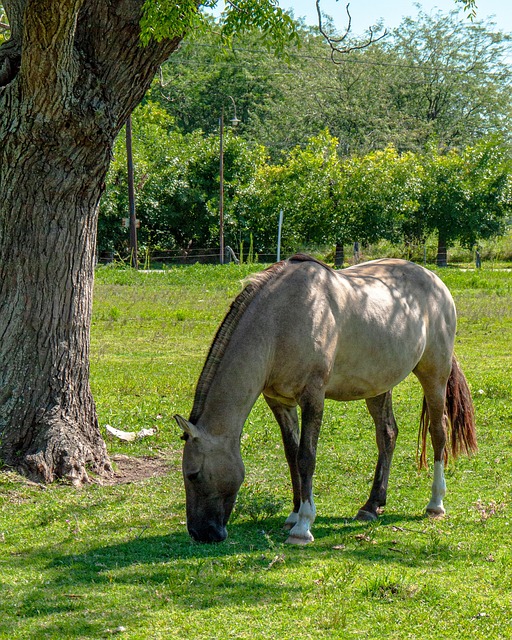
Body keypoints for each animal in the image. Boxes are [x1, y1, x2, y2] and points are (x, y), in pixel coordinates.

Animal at [175, 254, 476, 545]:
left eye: (193, 474)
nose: (201, 533)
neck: (279, 322)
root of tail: (435, 281)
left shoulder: (313, 397)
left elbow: (306, 457)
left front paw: (303, 527)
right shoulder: (279, 401)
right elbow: (292, 455)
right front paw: (294, 514)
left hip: (434, 375)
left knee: (438, 432)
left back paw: (435, 504)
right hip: (379, 386)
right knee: (387, 435)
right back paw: (372, 505)